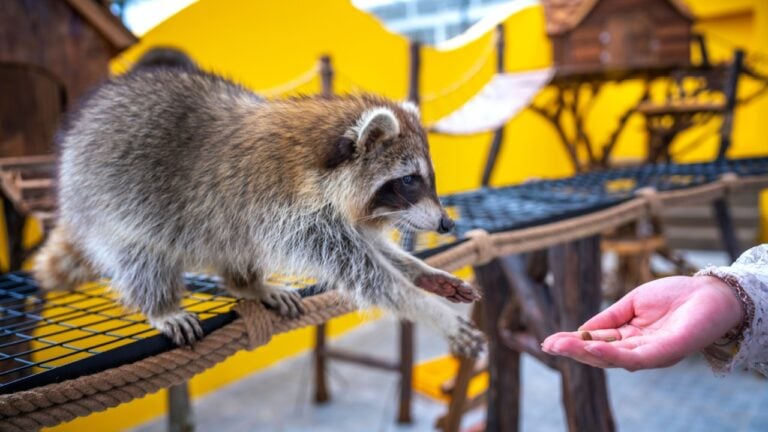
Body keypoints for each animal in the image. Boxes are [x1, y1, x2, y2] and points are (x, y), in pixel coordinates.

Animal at [34, 67, 484, 356]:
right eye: (409, 180)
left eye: (427, 179)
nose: (446, 223)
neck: (317, 164)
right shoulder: (284, 210)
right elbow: (365, 274)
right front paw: (426, 307)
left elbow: (373, 251)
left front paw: (421, 271)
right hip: (107, 204)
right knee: (140, 255)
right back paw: (161, 304)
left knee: (235, 248)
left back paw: (248, 284)